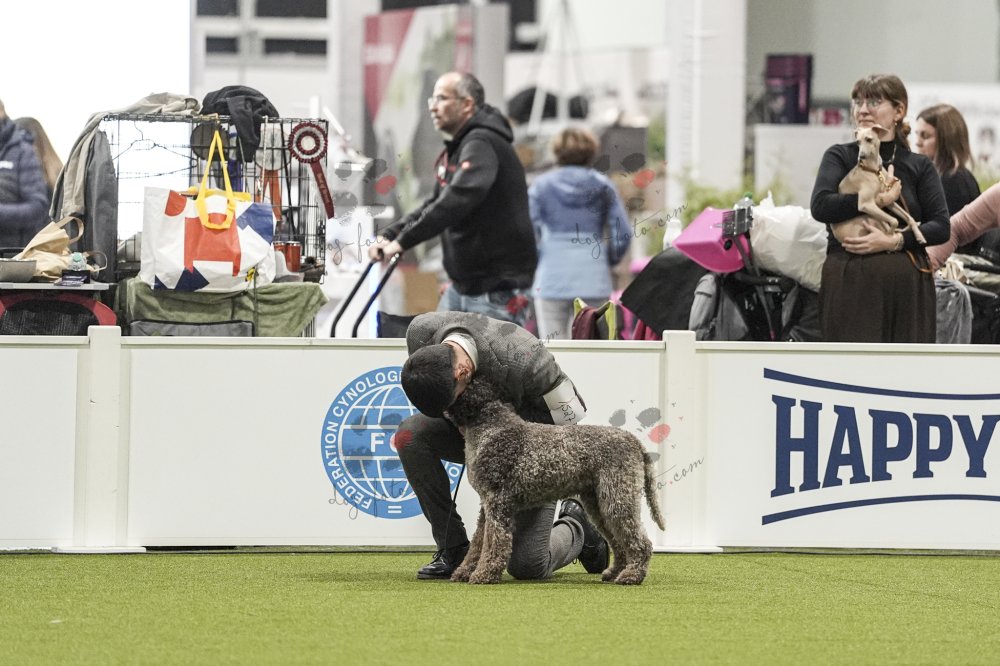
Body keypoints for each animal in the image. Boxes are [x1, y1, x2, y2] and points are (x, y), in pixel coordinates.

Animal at [445, 378, 666, 585]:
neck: (491, 428)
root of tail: (634, 441)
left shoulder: (497, 502)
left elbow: (493, 542)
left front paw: (484, 573)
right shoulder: (486, 505)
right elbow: (477, 542)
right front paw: (465, 571)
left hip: (617, 500)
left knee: (640, 542)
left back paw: (632, 575)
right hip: (599, 503)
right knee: (617, 543)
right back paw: (614, 572)